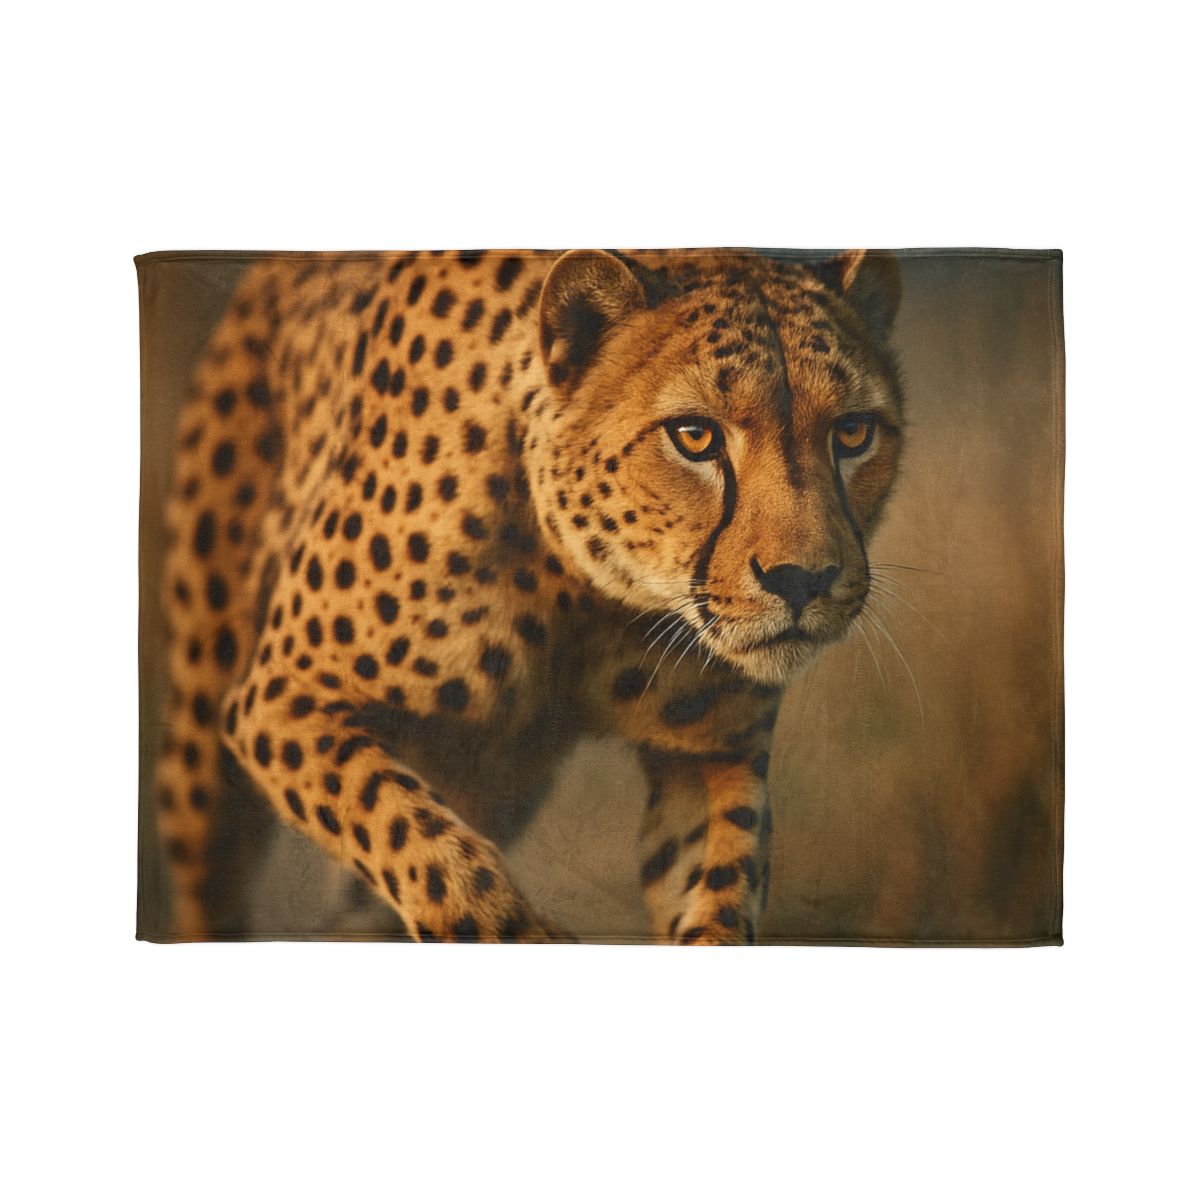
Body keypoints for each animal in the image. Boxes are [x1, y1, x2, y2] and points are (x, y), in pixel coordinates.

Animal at [149, 246, 904, 943]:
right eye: (694, 435)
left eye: (852, 432)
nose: (802, 579)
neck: (586, 594)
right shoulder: (282, 698)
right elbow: (420, 843)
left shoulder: (711, 755)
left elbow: (720, 891)